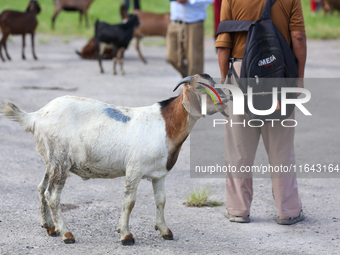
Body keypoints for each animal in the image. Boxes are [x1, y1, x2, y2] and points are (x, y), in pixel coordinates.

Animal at [0, 73, 228, 245]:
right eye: (203, 89)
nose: (227, 99)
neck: (165, 125)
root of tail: (36, 116)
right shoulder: (134, 169)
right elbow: (129, 201)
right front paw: (126, 236)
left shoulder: (159, 174)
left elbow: (161, 200)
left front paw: (165, 231)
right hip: (60, 160)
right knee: (52, 195)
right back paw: (66, 234)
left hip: (51, 159)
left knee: (41, 188)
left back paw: (50, 227)